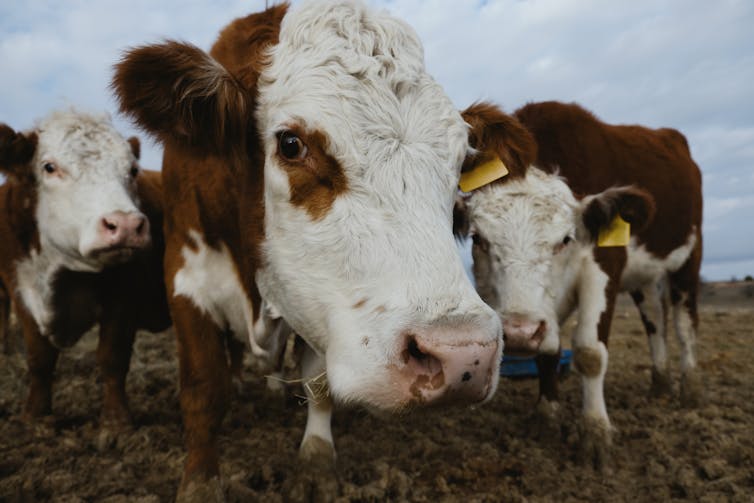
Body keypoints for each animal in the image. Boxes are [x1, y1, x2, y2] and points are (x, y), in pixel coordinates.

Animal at [0, 110, 170, 429]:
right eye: (49, 167)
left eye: (132, 170)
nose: (126, 225)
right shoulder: (20, 292)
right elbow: (39, 359)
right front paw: (35, 416)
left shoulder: (123, 296)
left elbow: (112, 357)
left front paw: (116, 421)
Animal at [111, 1, 504, 499]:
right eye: (291, 144)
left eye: (459, 163)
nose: (463, 356)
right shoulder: (185, 273)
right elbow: (204, 386)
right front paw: (200, 480)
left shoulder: (321, 306)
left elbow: (317, 380)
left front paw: (316, 458)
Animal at [455, 101, 702, 468]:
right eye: (478, 239)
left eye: (565, 239)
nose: (518, 332)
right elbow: (547, 353)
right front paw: (546, 415)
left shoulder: (605, 264)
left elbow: (589, 351)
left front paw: (595, 433)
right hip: (642, 279)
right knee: (655, 322)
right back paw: (659, 384)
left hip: (689, 258)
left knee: (685, 324)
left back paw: (690, 388)